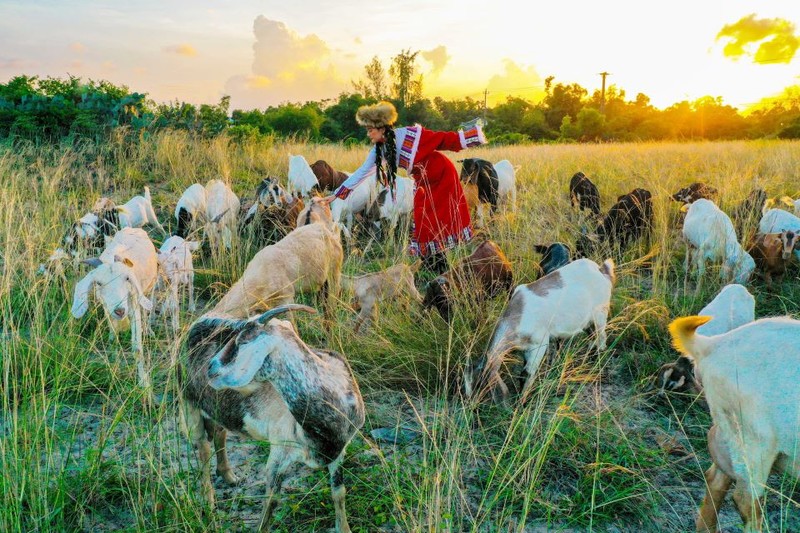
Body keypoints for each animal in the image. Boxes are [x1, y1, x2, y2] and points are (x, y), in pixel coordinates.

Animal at [70, 227, 158, 388]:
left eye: (127, 278)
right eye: (98, 283)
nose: (120, 310)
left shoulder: (133, 304)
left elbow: (137, 348)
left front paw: (143, 383)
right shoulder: (106, 306)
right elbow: (114, 333)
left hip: (151, 285)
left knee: (147, 307)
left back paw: (148, 330)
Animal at [466, 258, 616, 404]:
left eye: (479, 384)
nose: (470, 406)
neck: (519, 313)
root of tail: (601, 269)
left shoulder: (539, 344)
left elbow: (527, 373)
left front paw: (522, 403)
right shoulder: (525, 349)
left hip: (600, 314)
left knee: (602, 338)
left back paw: (598, 361)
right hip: (588, 322)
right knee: (593, 337)